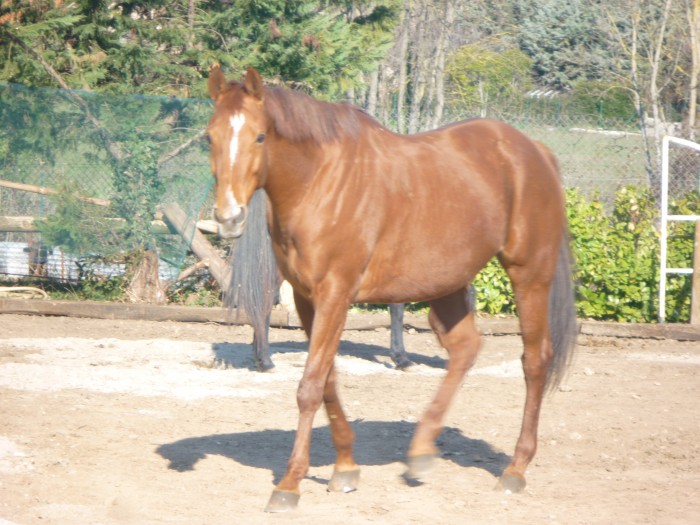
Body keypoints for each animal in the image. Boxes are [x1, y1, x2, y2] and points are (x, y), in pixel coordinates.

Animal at [205, 65, 576, 512]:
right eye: (210, 137)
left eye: (260, 136)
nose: (229, 217)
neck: (320, 182)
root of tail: (534, 150)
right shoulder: (308, 300)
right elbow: (327, 381)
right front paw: (345, 468)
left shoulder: (335, 295)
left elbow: (310, 387)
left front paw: (290, 483)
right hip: (448, 282)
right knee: (465, 349)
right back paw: (421, 451)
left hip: (529, 276)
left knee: (535, 361)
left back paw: (515, 469)